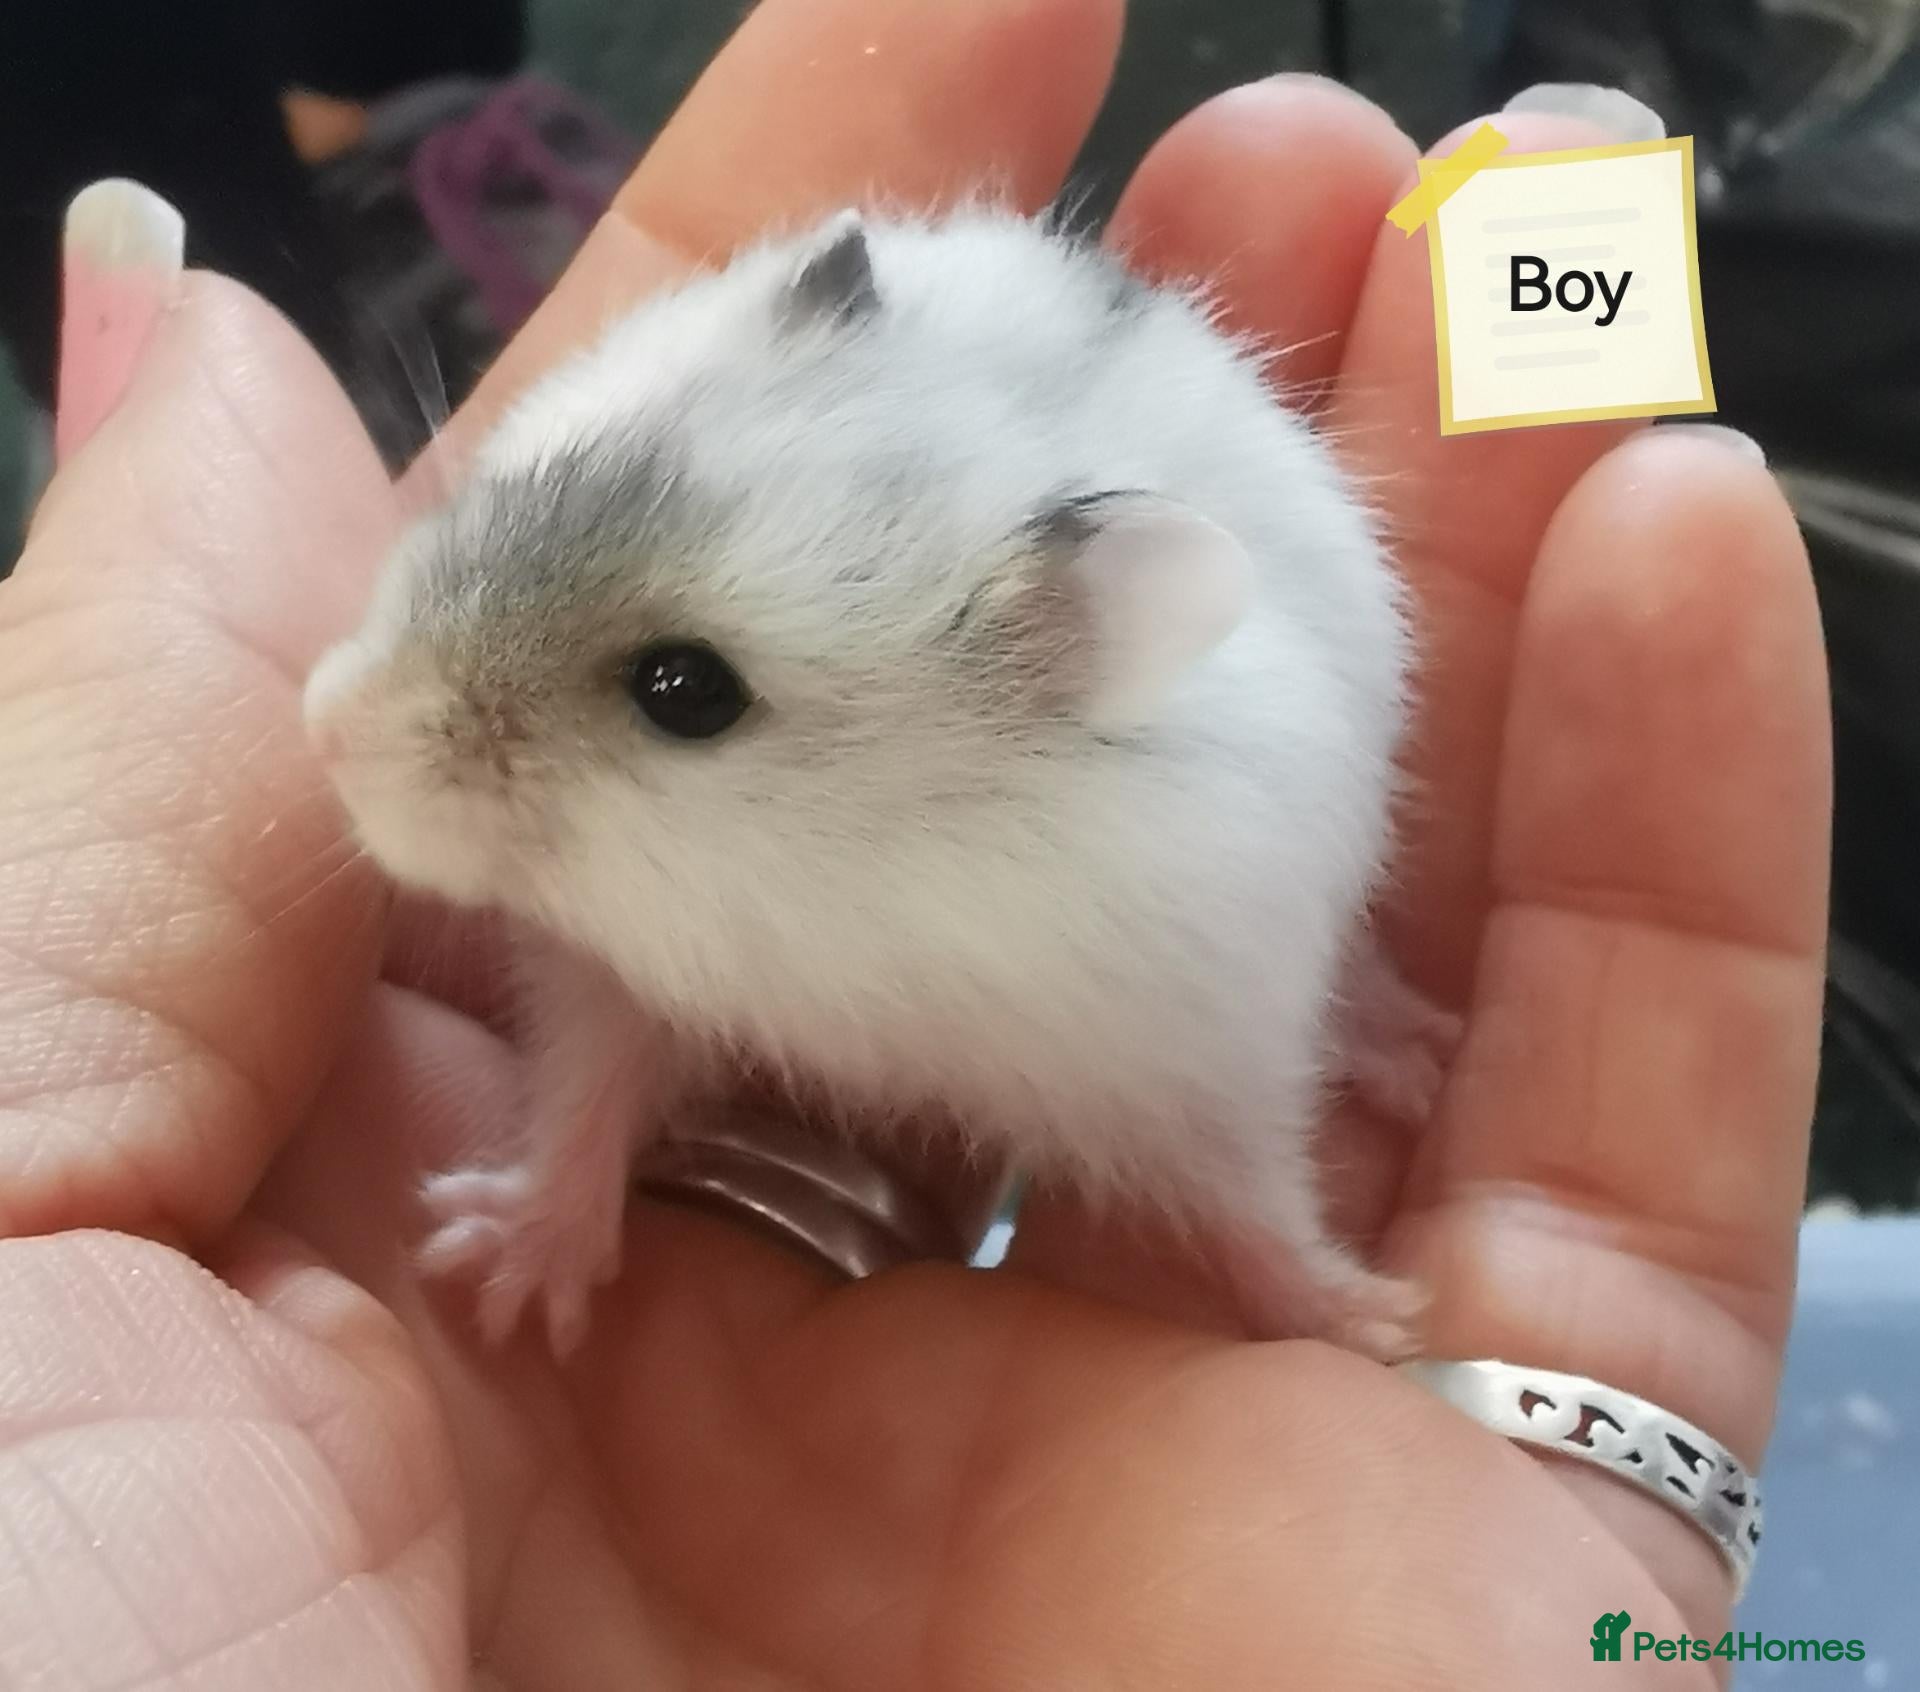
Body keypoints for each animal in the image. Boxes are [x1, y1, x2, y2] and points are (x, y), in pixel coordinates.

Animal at [305, 206, 1456, 1357]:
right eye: (522, 485)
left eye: (686, 690)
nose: (326, 730)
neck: (855, 890)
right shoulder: (619, 972)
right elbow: (590, 1091)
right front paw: (494, 1281)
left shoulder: (1195, 1054)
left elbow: (1257, 1209)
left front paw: (1381, 1326)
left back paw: (1417, 1061)